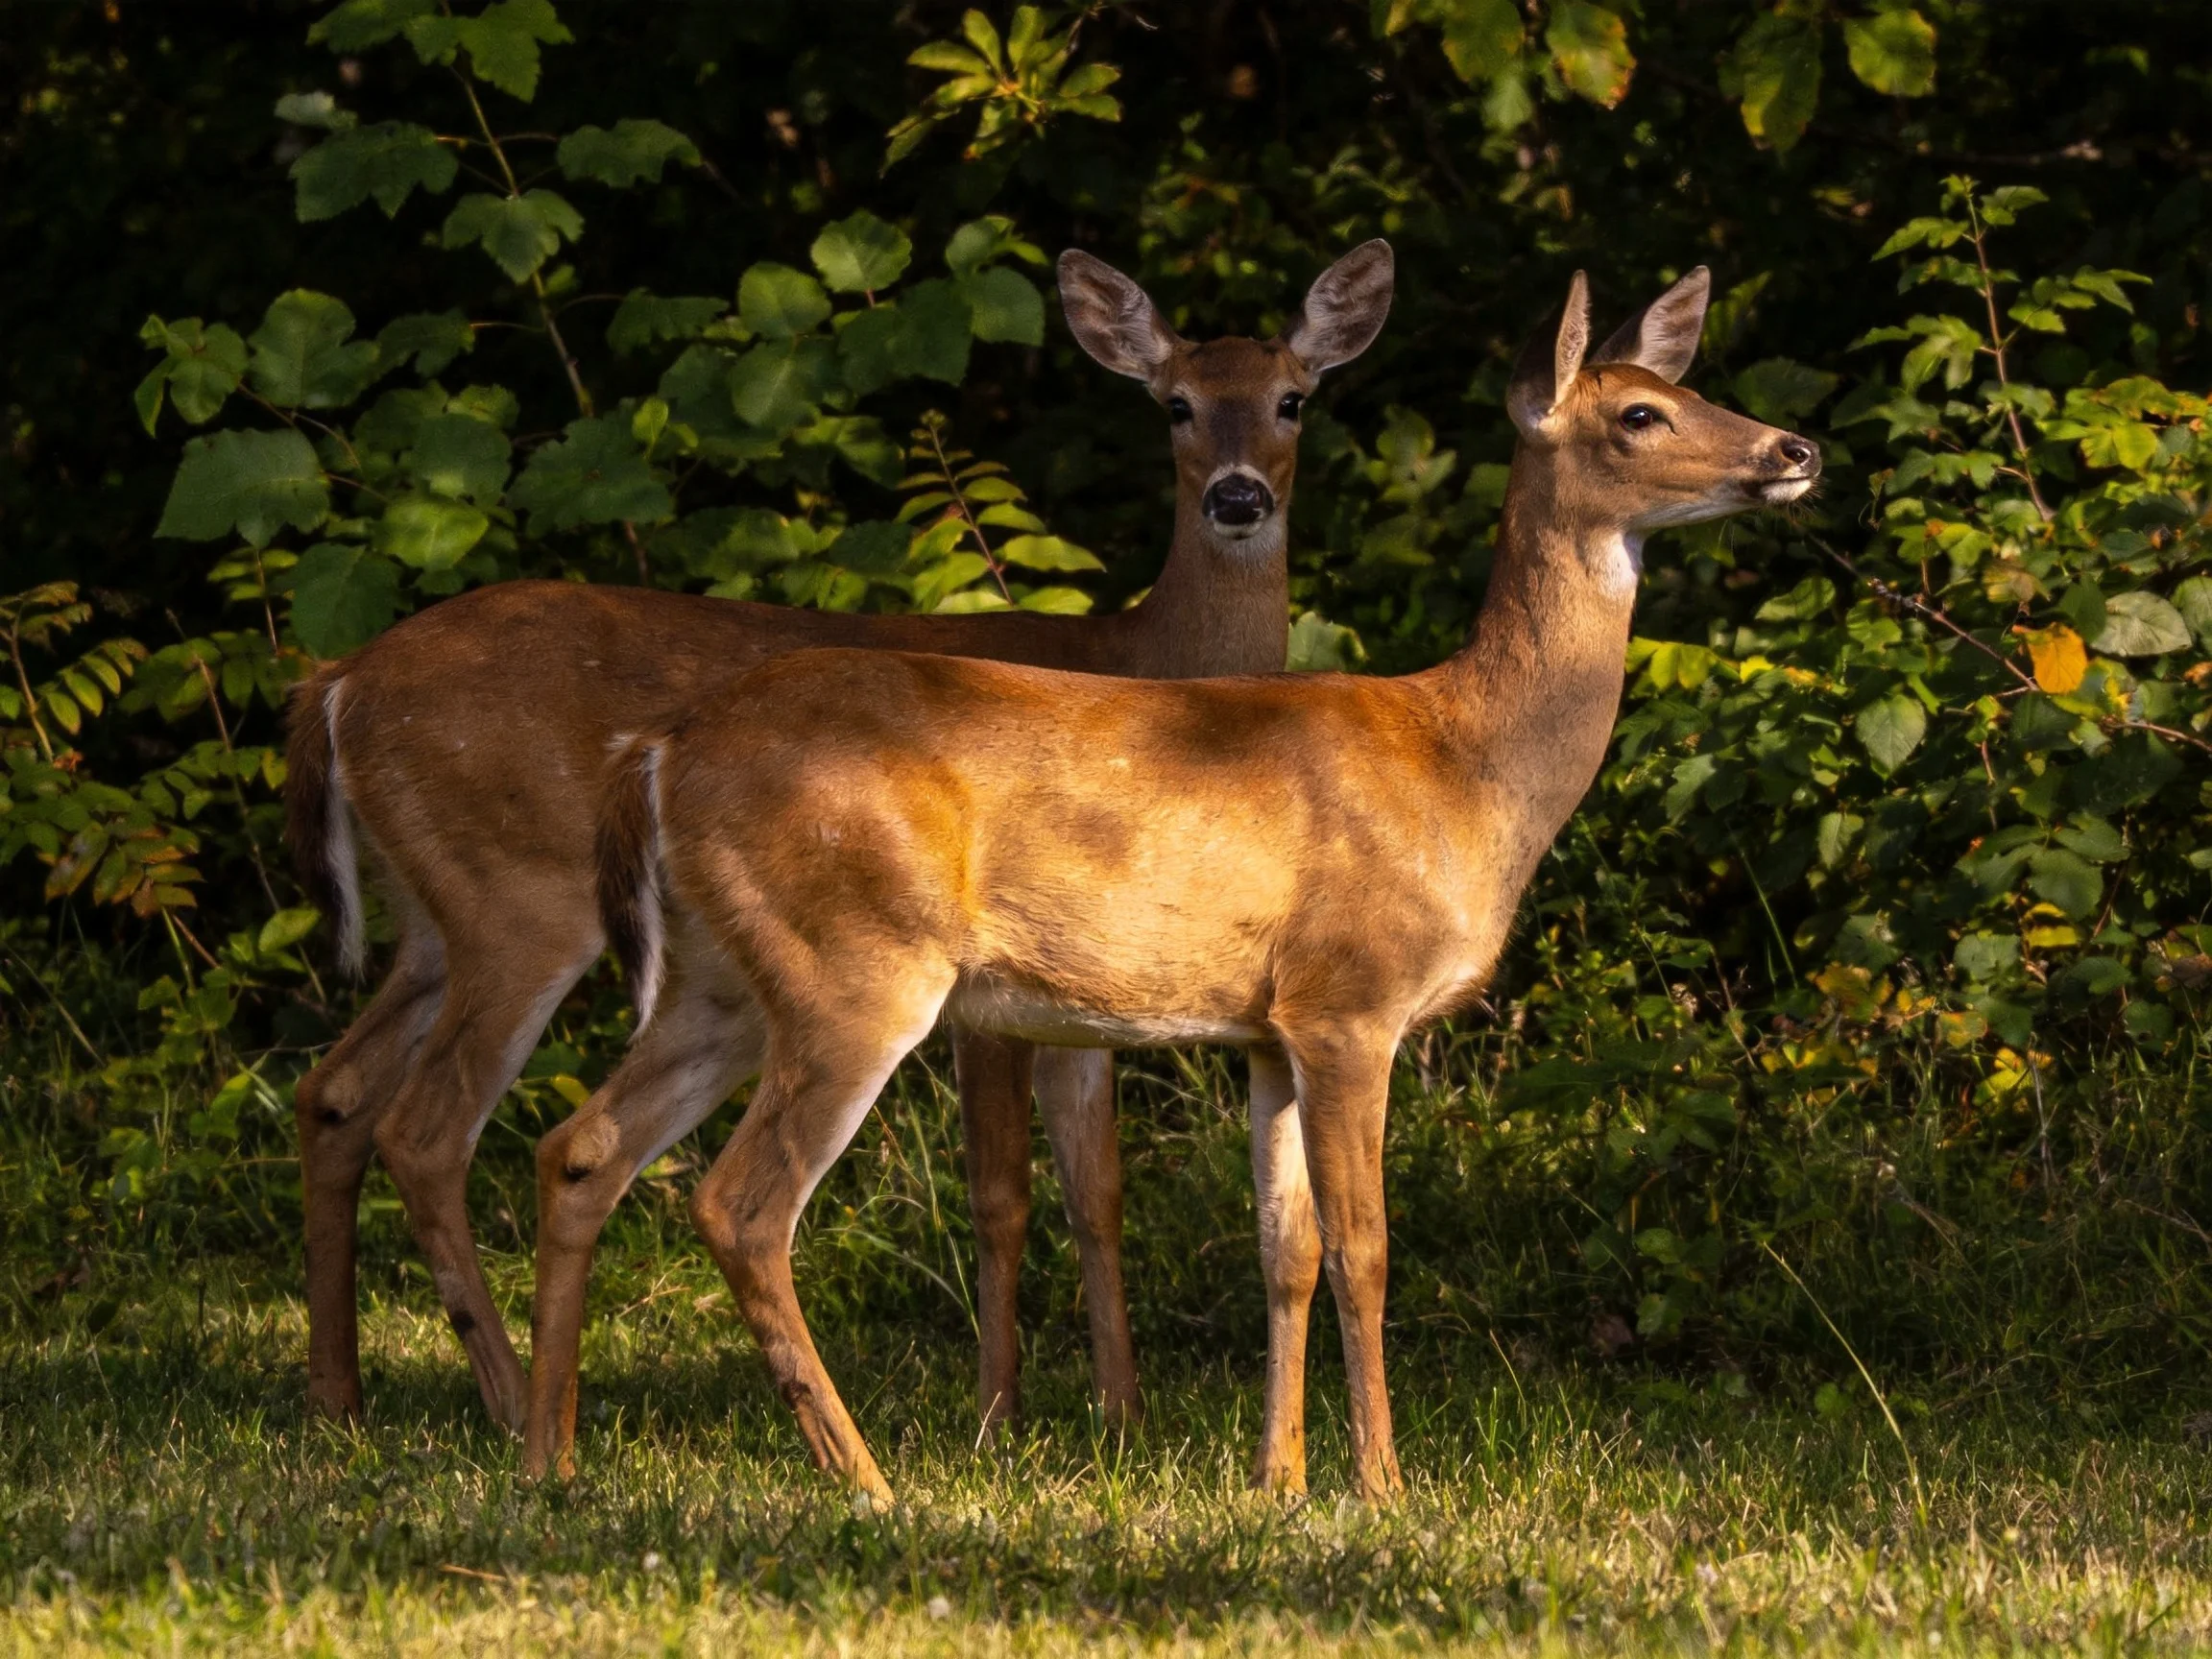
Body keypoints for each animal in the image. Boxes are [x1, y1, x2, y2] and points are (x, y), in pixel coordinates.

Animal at [283, 241, 1397, 1442]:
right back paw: (498, 1401)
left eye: (1292, 398)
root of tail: (339, 681)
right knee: (426, 1128)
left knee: (337, 1092)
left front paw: (1121, 1415)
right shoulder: (997, 996)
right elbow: (1001, 1191)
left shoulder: (1093, 985)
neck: (1147, 668)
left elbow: (1096, 1187)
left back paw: (341, 1397)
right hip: (520, 905)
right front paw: (999, 1417)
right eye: (1177, 403)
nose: (1238, 497)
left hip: (433, 915)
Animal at [547, 265, 1819, 1501]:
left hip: (723, 979)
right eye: (1640, 414)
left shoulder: (1268, 1029)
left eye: (1683, 387)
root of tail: (661, 750)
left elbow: (1284, 1247)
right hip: (853, 966)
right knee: (740, 1205)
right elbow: (1367, 1248)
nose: (1794, 449)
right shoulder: (1351, 999)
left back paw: (546, 1462)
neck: (1467, 765)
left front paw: (1279, 1481)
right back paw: (865, 1480)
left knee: (583, 1147)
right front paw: (1385, 1487)